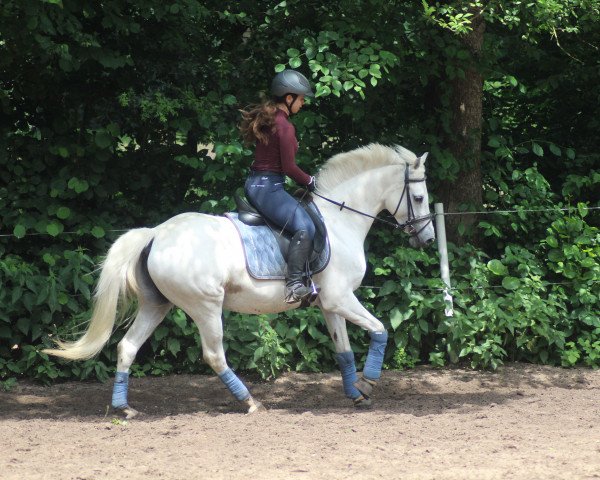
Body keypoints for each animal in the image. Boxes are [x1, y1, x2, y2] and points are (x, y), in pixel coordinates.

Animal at [43, 142, 436, 416]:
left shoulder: (329, 304)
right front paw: (368, 385)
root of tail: (155, 233)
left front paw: (355, 393)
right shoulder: (341, 298)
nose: (429, 240)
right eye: (418, 197)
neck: (340, 221)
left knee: (127, 347)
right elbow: (380, 330)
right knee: (214, 354)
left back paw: (124, 408)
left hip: (157, 305)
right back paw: (251, 403)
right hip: (205, 306)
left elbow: (344, 352)